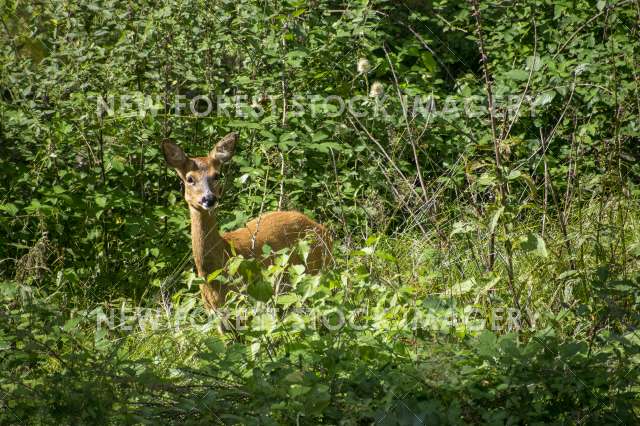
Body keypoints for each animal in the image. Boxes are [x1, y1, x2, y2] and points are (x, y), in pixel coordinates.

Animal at [162, 133, 332, 310]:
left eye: (217, 175)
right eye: (190, 178)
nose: (209, 199)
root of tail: (325, 231)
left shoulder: (246, 300)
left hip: (317, 271)